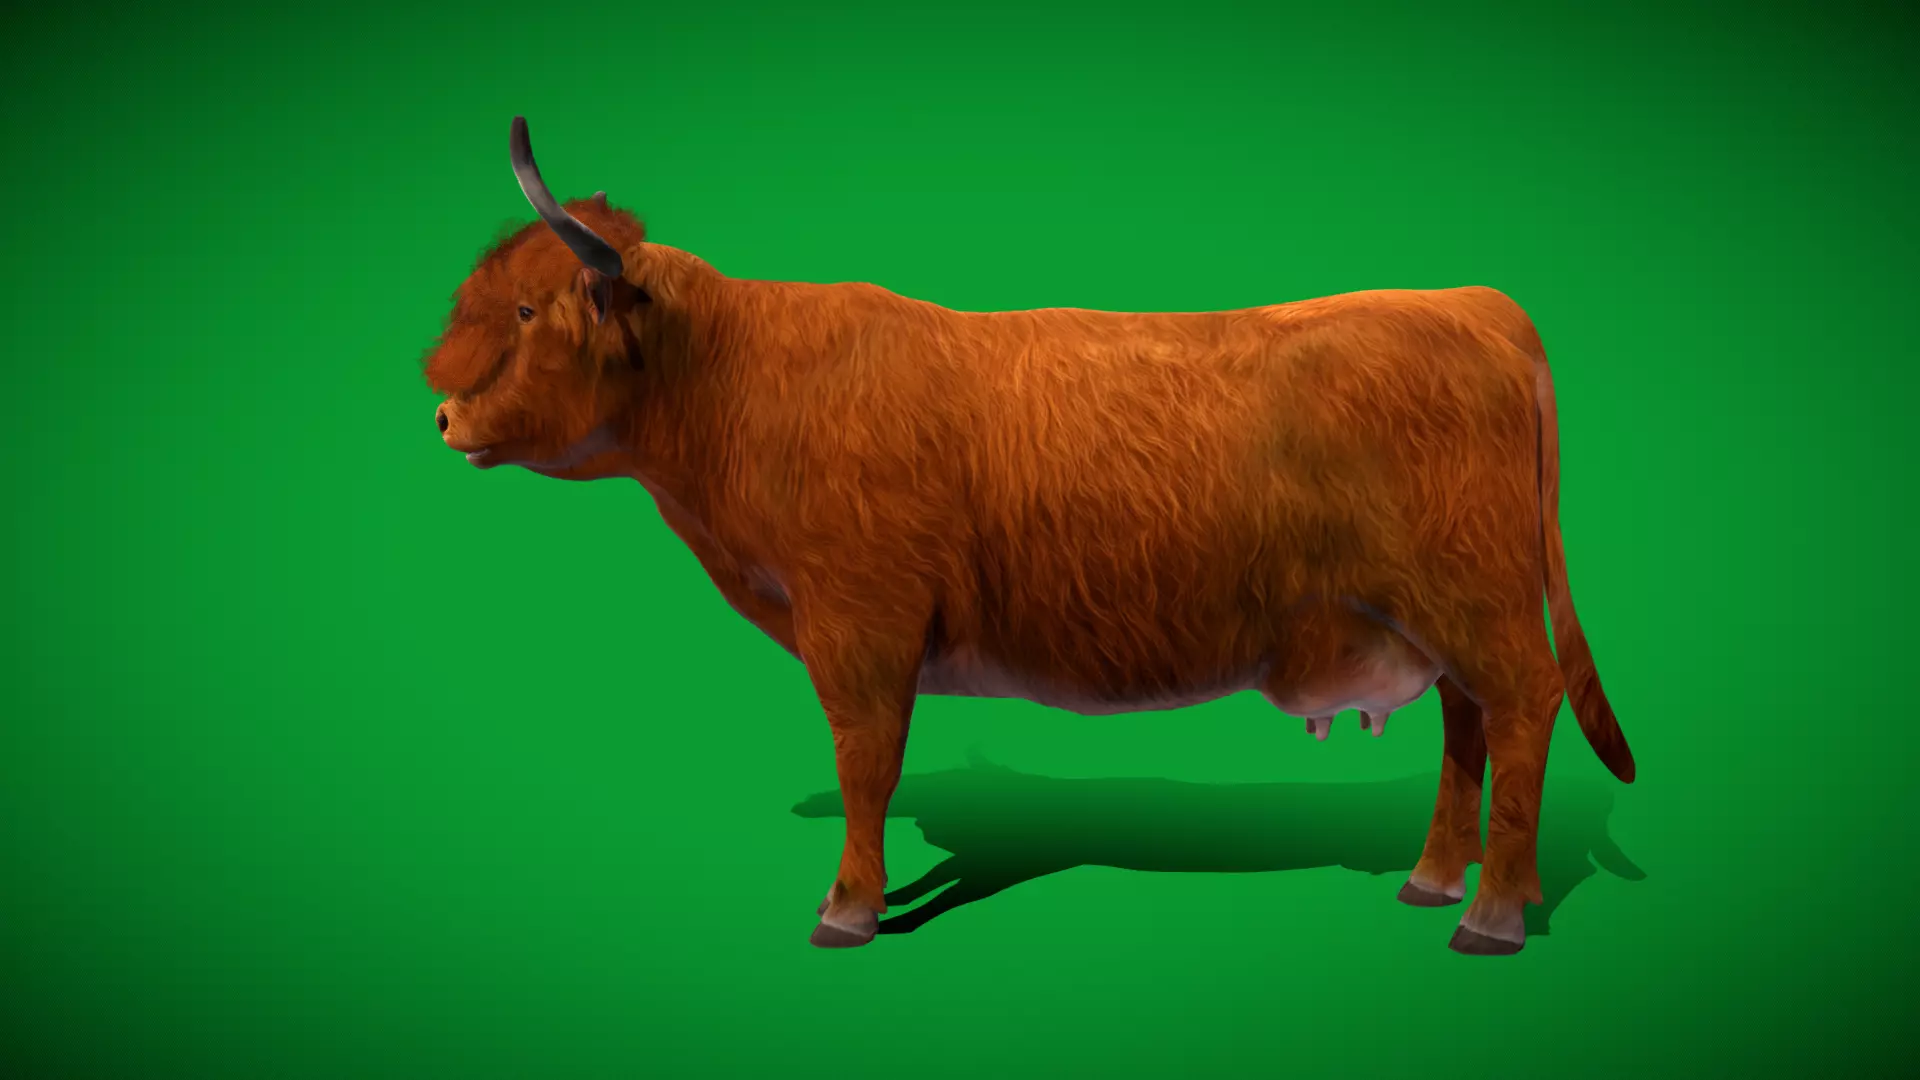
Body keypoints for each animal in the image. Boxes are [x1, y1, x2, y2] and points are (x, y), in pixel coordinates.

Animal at [422, 116, 1637, 957]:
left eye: (525, 311)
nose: (439, 415)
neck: (739, 381)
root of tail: (1466, 300)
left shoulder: (860, 621)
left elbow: (865, 760)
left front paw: (848, 906)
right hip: (1436, 614)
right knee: (1471, 725)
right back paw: (1440, 879)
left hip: (1472, 599)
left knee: (1521, 711)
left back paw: (1489, 913)